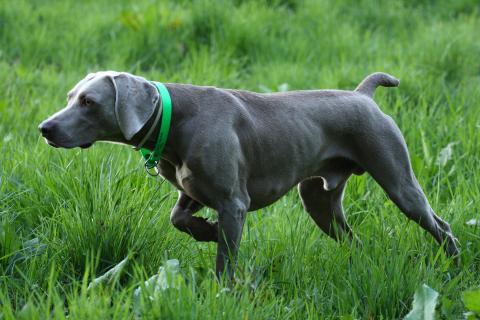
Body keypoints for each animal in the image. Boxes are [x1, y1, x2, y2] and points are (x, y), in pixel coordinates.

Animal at [39, 72, 460, 278]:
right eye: (70, 97)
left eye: (88, 102)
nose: (45, 128)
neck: (176, 119)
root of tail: (363, 94)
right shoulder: (192, 190)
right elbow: (177, 218)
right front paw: (206, 231)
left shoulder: (233, 203)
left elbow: (225, 260)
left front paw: (220, 288)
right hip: (319, 200)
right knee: (352, 239)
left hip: (398, 179)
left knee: (440, 225)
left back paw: (454, 267)